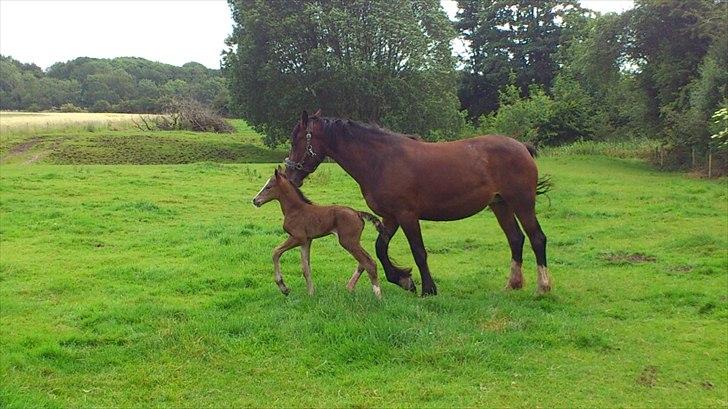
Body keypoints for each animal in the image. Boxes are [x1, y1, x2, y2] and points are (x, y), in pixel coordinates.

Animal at [253, 167, 384, 298]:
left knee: (369, 263)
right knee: (365, 261)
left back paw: (378, 296)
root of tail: (357, 213)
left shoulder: (297, 237)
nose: (255, 200)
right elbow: (305, 267)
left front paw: (284, 288)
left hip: (348, 241)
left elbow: (276, 252)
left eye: (268, 187)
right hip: (353, 242)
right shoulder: (306, 241)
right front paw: (311, 293)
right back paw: (350, 288)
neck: (295, 209)